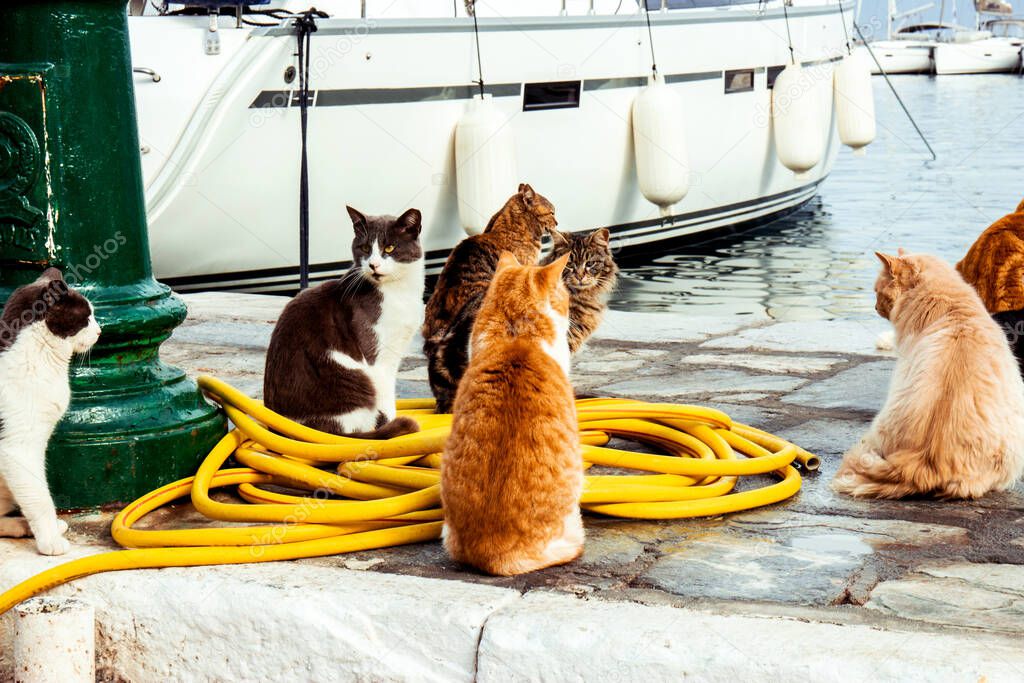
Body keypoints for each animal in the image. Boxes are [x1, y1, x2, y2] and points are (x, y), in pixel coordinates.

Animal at [266, 205, 425, 438]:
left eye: (389, 247)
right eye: (365, 247)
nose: (373, 265)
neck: (398, 292)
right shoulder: (377, 354)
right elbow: (386, 398)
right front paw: (389, 424)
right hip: (354, 379)